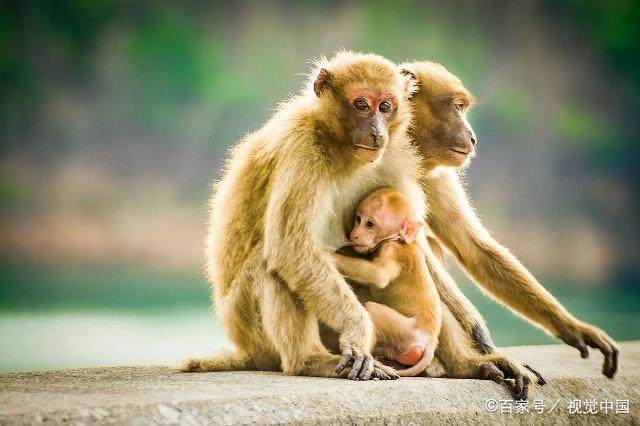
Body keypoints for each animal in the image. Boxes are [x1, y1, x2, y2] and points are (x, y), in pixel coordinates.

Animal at [330, 186, 440, 376]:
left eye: (370, 224)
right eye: (358, 219)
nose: (354, 234)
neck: (399, 240)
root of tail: (430, 342)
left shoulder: (392, 251)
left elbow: (378, 275)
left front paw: (325, 254)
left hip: (407, 332)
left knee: (372, 309)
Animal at [400, 59, 620, 382]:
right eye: (457, 106)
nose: (472, 136)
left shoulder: (435, 172)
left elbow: (473, 247)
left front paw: (573, 327)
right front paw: (476, 344)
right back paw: (463, 363)